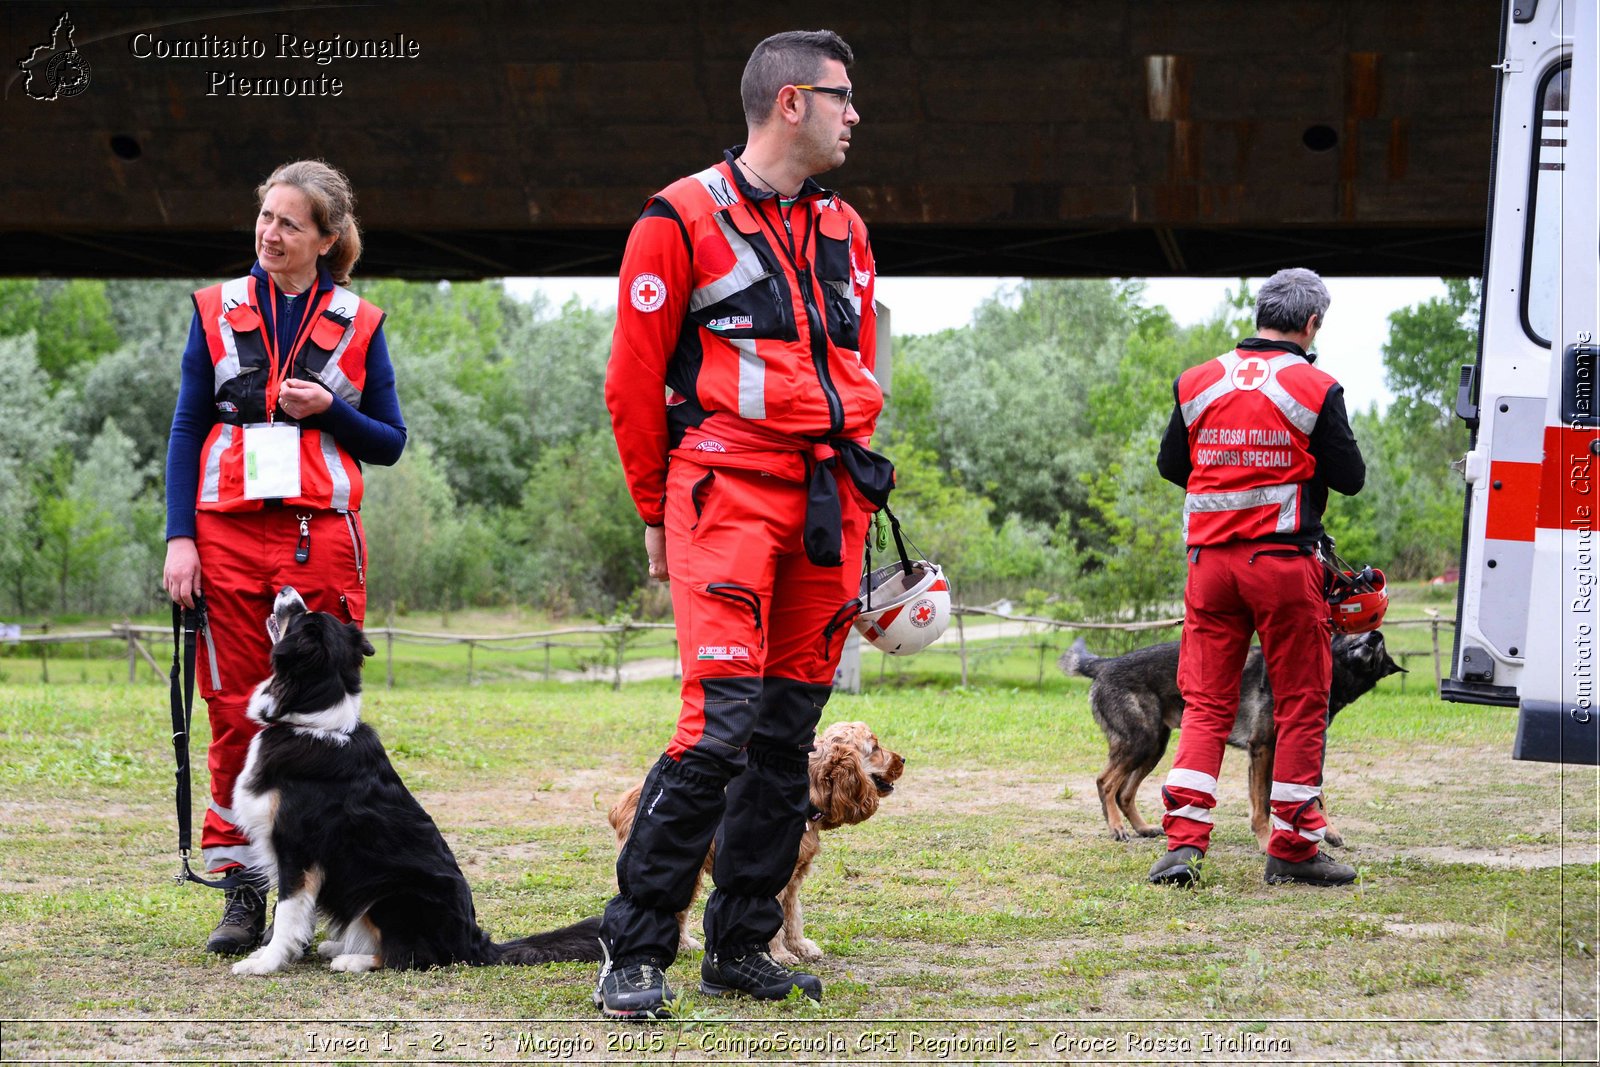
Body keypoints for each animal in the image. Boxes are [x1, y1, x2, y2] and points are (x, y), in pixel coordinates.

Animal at [235, 588, 604, 979]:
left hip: (391, 894)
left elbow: (287, 912)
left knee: (414, 956)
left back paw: (352, 958)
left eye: (303, 615)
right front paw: (268, 956)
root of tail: (475, 943)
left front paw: (265, 963)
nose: (286, 590)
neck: (311, 719)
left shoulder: (296, 848)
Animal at [1062, 633, 1401, 851]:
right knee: (1105, 783)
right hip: (1141, 744)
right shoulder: (1262, 749)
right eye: (1355, 631)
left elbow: (1316, 796)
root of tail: (1106, 664)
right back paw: (1117, 828)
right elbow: (1264, 802)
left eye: (1381, 649)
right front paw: (1266, 841)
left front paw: (1329, 831)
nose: (1376, 634)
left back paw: (1141, 827)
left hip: (1154, 748)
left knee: (1124, 792)